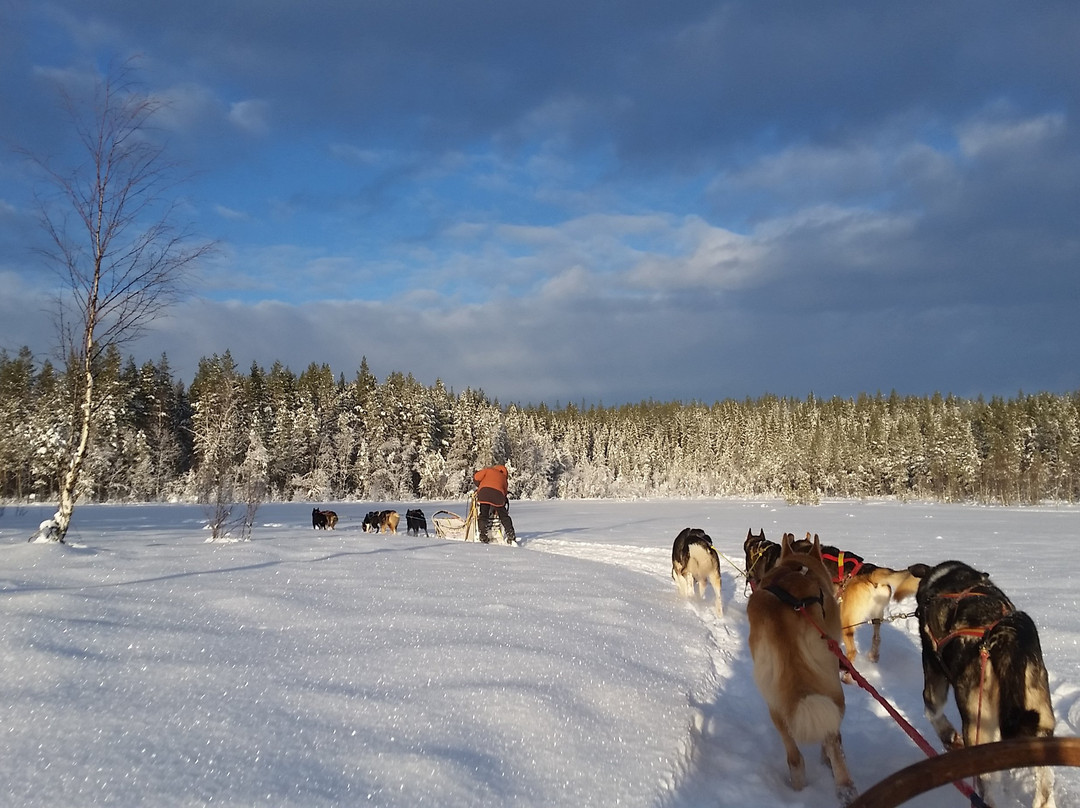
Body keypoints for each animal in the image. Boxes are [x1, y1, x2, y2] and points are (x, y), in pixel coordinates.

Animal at [747, 533, 855, 803]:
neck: (797, 565)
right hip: (833, 691)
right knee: (833, 737)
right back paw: (843, 784)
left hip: (774, 701)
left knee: (794, 757)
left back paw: (797, 787)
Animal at [911, 561, 1054, 808]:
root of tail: (1004, 637)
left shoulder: (933, 667)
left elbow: (931, 708)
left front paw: (949, 738)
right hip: (1040, 718)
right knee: (1045, 783)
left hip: (978, 725)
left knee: (986, 789)